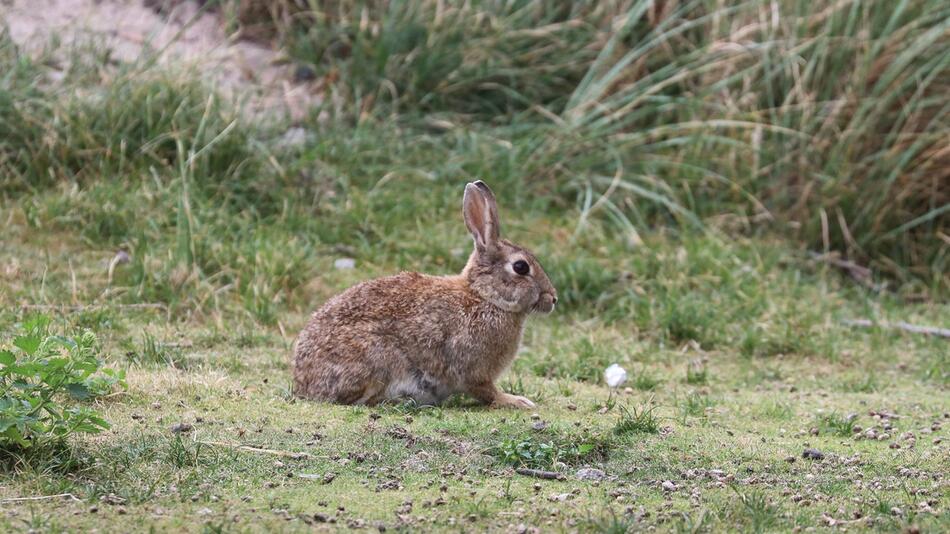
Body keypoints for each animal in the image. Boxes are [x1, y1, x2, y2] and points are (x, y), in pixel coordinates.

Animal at [296, 181, 556, 410]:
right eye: (521, 267)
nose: (553, 298)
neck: (485, 298)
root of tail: (303, 385)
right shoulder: (473, 369)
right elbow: (487, 391)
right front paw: (516, 401)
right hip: (377, 358)